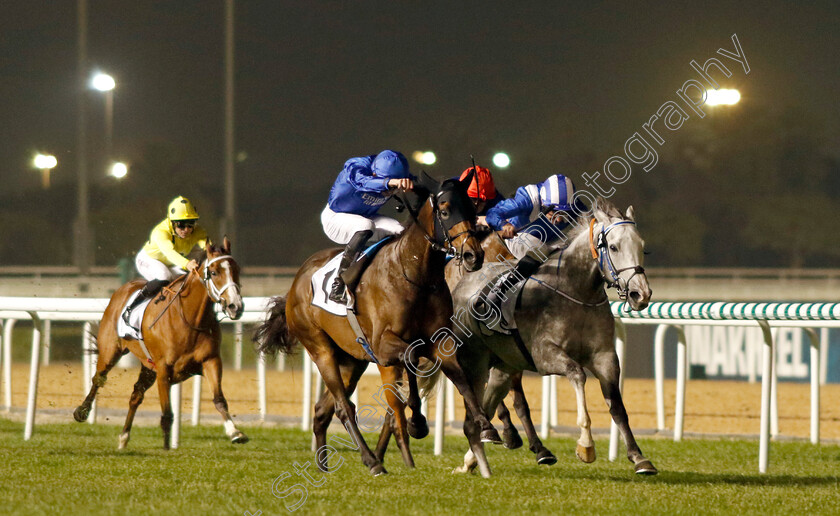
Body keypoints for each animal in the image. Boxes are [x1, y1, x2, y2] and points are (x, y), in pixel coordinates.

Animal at [73, 237, 246, 448]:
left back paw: (123, 437)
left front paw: (235, 432)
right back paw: (82, 412)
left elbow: (219, 399)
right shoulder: (164, 369)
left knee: (136, 395)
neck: (190, 320)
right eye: (213, 272)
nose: (235, 306)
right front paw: (166, 449)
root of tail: (122, 289)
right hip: (111, 350)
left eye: (237, 270)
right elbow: (167, 415)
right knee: (99, 378)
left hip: (148, 366)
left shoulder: (210, 361)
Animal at [256, 173, 506, 476]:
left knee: (323, 410)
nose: (473, 256)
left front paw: (486, 425)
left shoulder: (439, 341)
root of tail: (296, 282)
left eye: (470, 209)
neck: (415, 275)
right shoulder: (383, 345)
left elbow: (460, 379)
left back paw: (324, 464)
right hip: (320, 349)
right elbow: (411, 356)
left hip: (352, 360)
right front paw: (416, 421)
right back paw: (372, 461)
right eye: (445, 211)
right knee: (343, 407)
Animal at [446, 198, 656, 476]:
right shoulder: (545, 355)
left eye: (641, 246)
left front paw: (639, 457)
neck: (576, 292)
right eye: (613, 246)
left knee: (487, 406)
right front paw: (586, 445)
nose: (640, 294)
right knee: (474, 412)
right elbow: (577, 374)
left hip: (504, 365)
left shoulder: (605, 357)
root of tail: (462, 283)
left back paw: (473, 459)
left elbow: (618, 408)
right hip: (474, 363)